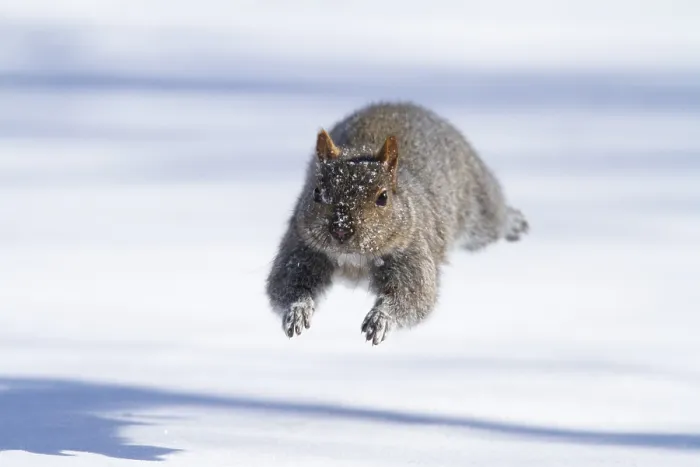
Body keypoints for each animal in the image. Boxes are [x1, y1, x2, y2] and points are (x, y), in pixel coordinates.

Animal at [266, 101, 528, 345]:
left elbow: (414, 296)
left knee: (493, 221)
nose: (341, 229)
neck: (354, 260)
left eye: (383, 197)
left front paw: (381, 318)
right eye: (317, 192)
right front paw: (297, 311)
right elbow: (286, 285)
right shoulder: (302, 246)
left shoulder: (411, 250)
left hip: (479, 213)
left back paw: (514, 222)